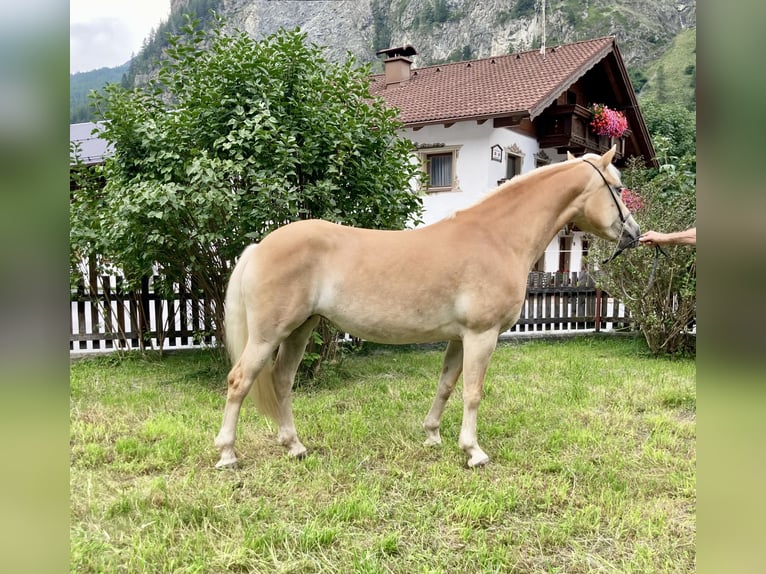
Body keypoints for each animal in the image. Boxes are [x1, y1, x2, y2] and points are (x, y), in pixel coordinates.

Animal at [213, 146, 640, 470]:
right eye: (619, 188)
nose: (634, 234)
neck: (496, 238)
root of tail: (259, 246)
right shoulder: (482, 335)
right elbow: (472, 392)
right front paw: (474, 452)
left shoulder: (459, 338)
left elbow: (446, 385)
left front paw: (433, 435)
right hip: (268, 334)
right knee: (239, 381)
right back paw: (228, 454)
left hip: (300, 330)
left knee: (282, 381)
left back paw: (295, 446)